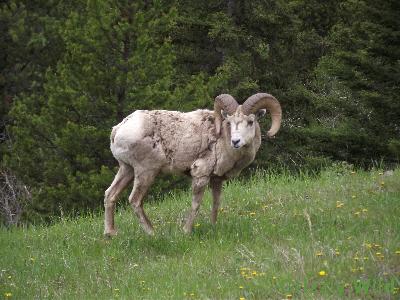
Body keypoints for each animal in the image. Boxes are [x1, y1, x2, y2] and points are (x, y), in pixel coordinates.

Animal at [104, 92, 282, 236]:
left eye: (250, 122)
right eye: (229, 122)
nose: (236, 141)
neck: (222, 141)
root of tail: (118, 129)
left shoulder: (216, 180)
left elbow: (216, 204)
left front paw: (213, 226)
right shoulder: (200, 175)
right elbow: (196, 204)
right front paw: (186, 231)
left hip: (126, 169)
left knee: (110, 194)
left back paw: (110, 234)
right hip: (146, 172)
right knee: (135, 200)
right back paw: (152, 233)